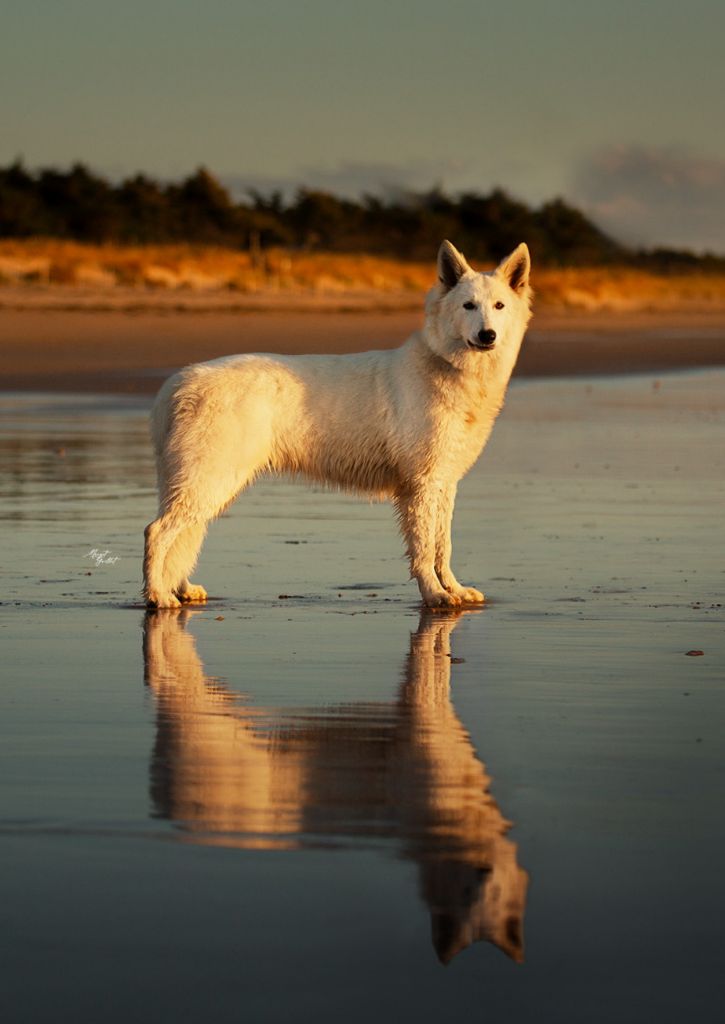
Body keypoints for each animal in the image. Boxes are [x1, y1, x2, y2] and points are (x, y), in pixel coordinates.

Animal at [143, 241, 532, 606]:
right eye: (468, 306)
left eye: (499, 306)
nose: (487, 335)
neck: (446, 365)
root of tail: (178, 382)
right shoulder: (421, 486)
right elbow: (423, 550)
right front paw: (435, 594)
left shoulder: (444, 483)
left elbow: (442, 547)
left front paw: (454, 589)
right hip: (210, 479)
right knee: (157, 532)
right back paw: (158, 596)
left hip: (203, 482)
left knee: (184, 535)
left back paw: (181, 590)